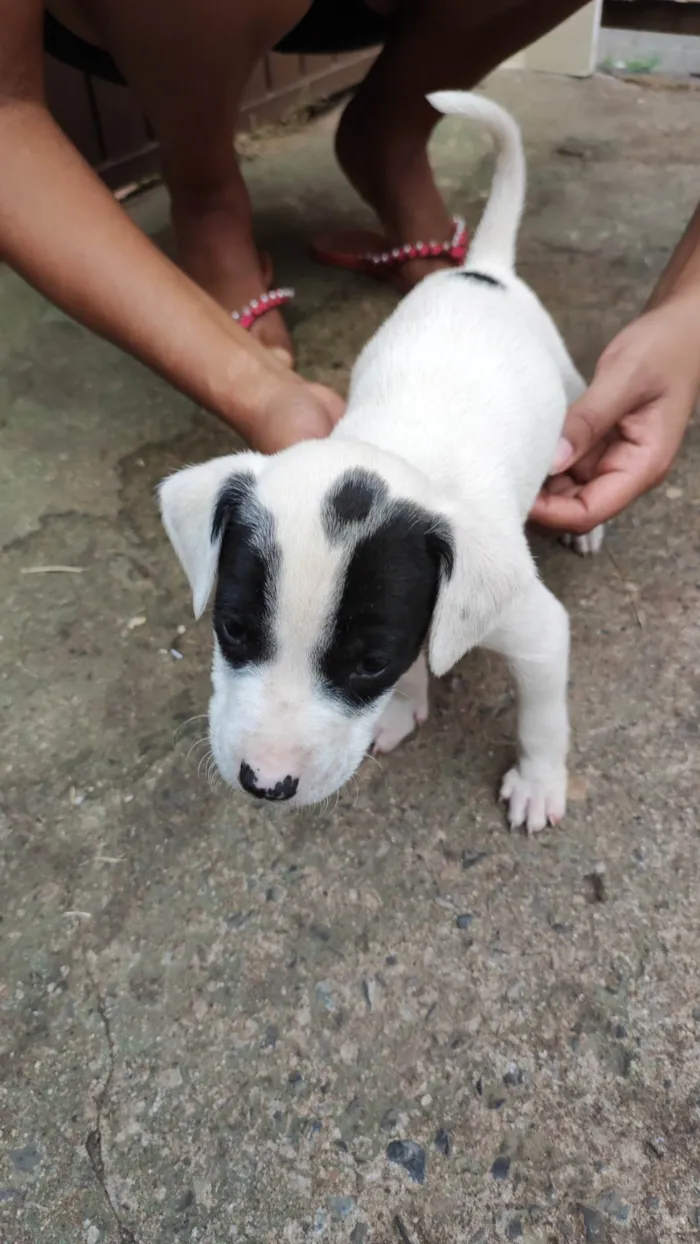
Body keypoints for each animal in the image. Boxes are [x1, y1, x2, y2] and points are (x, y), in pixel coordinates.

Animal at [159, 92, 601, 830]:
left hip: (568, 390)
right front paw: (403, 705)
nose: (264, 783)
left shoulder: (534, 627)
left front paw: (539, 783)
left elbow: (543, 717)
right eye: (233, 628)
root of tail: (483, 269)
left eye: (369, 661)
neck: (397, 449)